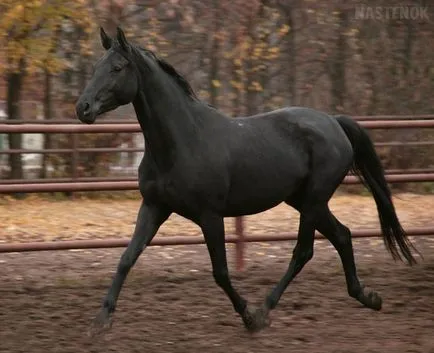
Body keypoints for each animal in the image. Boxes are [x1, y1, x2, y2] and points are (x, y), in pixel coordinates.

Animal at [76, 27, 418, 332]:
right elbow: (126, 258)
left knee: (304, 251)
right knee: (343, 236)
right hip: (304, 201)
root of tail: (334, 122)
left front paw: (249, 317)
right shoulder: (154, 207)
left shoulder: (210, 216)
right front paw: (100, 321)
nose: (83, 107)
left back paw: (266, 310)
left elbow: (221, 272)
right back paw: (368, 297)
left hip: (313, 201)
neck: (182, 141)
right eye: (95, 67)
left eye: (117, 67)